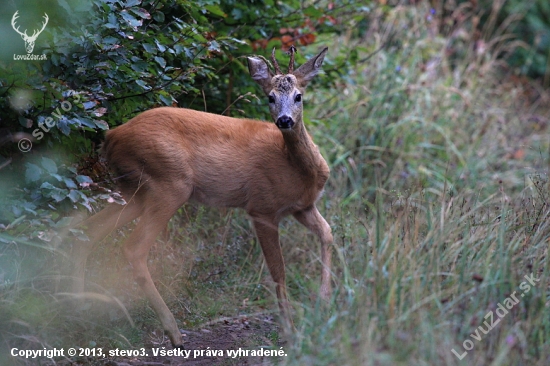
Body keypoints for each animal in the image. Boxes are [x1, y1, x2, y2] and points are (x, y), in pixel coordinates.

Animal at [73, 47, 332, 348]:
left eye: (298, 95)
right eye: (270, 97)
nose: (285, 120)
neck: (295, 167)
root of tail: (111, 136)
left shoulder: (303, 206)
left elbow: (328, 234)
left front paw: (324, 306)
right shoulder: (262, 207)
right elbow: (278, 271)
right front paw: (290, 332)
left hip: (132, 191)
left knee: (88, 230)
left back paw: (77, 310)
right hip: (169, 183)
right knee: (133, 248)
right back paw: (173, 332)